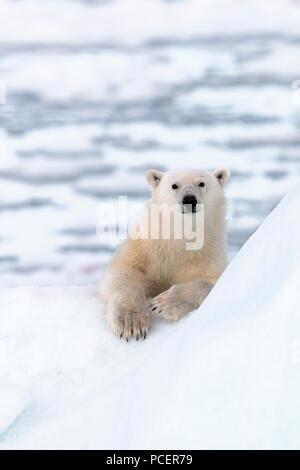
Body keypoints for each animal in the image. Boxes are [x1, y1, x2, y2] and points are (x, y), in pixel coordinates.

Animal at [99, 169, 231, 342]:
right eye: (174, 185)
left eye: (201, 183)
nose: (189, 199)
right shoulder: (145, 248)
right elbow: (124, 273)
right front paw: (132, 322)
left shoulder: (208, 253)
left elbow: (212, 281)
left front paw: (164, 303)